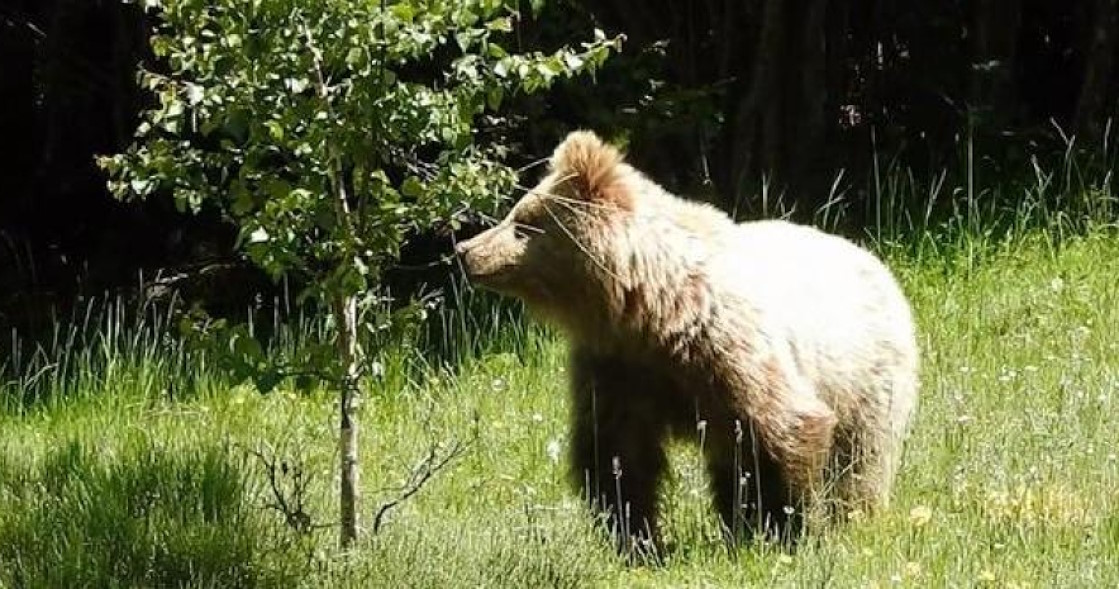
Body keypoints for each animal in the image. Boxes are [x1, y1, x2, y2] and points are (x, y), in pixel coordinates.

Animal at [454, 128, 917, 555]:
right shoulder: (617, 366)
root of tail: (873, 260)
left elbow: (783, 429)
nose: (465, 250)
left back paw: (850, 519)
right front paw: (637, 539)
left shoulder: (728, 349)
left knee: (860, 461)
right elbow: (617, 453)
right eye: (516, 214)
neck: (653, 308)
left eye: (523, 224)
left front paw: (785, 529)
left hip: (867, 376)